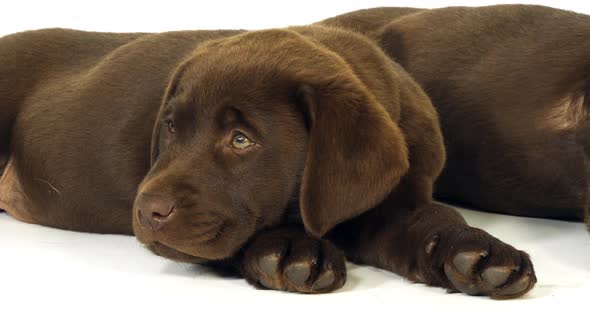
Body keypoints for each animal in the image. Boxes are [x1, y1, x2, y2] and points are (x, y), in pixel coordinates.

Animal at [0, 24, 536, 298]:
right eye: (170, 127)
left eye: (241, 140)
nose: (146, 211)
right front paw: (291, 250)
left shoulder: (398, 200)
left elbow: (432, 220)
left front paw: (479, 252)